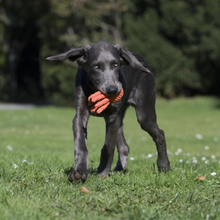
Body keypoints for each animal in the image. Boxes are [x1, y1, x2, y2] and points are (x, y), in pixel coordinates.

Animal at [46, 41, 170, 182]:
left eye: (115, 64)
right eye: (96, 66)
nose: (113, 90)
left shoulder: (112, 116)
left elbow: (108, 147)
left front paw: (103, 173)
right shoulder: (80, 115)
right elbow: (81, 145)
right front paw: (80, 172)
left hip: (144, 113)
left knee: (159, 133)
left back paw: (164, 166)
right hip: (121, 117)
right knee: (124, 147)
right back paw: (118, 171)